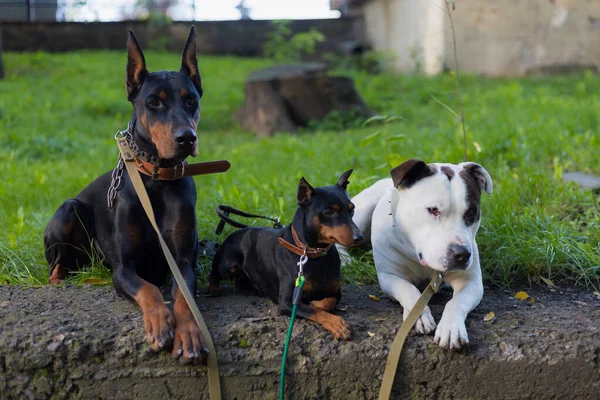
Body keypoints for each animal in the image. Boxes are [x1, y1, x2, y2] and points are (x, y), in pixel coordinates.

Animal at [43, 28, 207, 364]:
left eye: (191, 100)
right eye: (153, 102)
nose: (186, 138)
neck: (157, 179)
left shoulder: (183, 261)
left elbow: (183, 296)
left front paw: (189, 334)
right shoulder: (123, 267)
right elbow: (148, 289)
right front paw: (160, 321)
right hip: (69, 209)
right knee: (55, 265)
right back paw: (60, 281)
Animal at [209, 170, 364, 340]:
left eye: (352, 209)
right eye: (328, 212)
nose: (359, 238)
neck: (313, 253)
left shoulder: (335, 291)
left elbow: (329, 301)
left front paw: (318, 303)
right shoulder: (287, 302)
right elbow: (313, 311)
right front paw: (337, 324)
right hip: (227, 265)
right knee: (214, 272)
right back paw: (213, 288)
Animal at [338, 159, 492, 350]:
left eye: (471, 212)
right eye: (433, 210)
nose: (462, 254)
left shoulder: (471, 281)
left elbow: (457, 301)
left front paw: (451, 328)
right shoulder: (390, 277)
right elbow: (409, 290)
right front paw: (419, 316)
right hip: (360, 212)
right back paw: (344, 259)